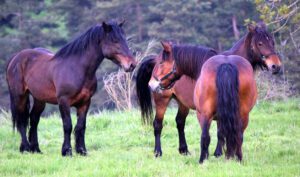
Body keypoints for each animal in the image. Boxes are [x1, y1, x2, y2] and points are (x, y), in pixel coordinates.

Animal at [5, 20, 136, 156]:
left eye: (124, 38)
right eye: (115, 40)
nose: (132, 64)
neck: (77, 68)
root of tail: (15, 58)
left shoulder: (85, 102)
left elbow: (81, 126)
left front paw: (82, 150)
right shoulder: (64, 101)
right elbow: (67, 125)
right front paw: (66, 151)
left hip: (39, 99)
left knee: (34, 119)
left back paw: (35, 149)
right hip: (20, 96)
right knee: (22, 120)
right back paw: (25, 148)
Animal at [138, 22, 282, 161]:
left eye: (273, 42)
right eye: (260, 43)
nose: (276, 66)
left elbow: (220, 132)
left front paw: (219, 153)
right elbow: (220, 132)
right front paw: (219, 153)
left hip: (183, 104)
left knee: (180, 122)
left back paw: (184, 150)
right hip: (162, 100)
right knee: (158, 124)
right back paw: (158, 152)